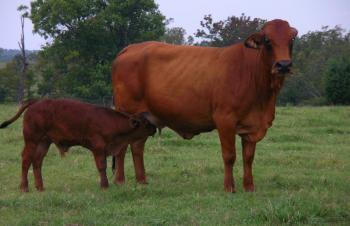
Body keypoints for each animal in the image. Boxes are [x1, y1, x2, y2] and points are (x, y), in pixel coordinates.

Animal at [0, 98, 156, 192]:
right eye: (145, 123)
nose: (155, 128)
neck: (111, 122)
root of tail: (36, 102)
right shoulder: (98, 148)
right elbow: (102, 166)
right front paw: (104, 186)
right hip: (32, 141)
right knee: (26, 160)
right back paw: (24, 188)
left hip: (44, 142)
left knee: (37, 161)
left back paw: (40, 187)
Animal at [112, 19, 298, 192]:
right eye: (267, 40)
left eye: (291, 39)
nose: (283, 65)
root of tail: (131, 47)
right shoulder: (225, 120)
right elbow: (229, 155)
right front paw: (229, 187)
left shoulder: (252, 125)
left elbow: (248, 157)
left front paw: (249, 187)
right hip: (127, 114)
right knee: (122, 147)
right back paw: (119, 181)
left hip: (144, 117)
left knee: (137, 147)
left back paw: (142, 181)